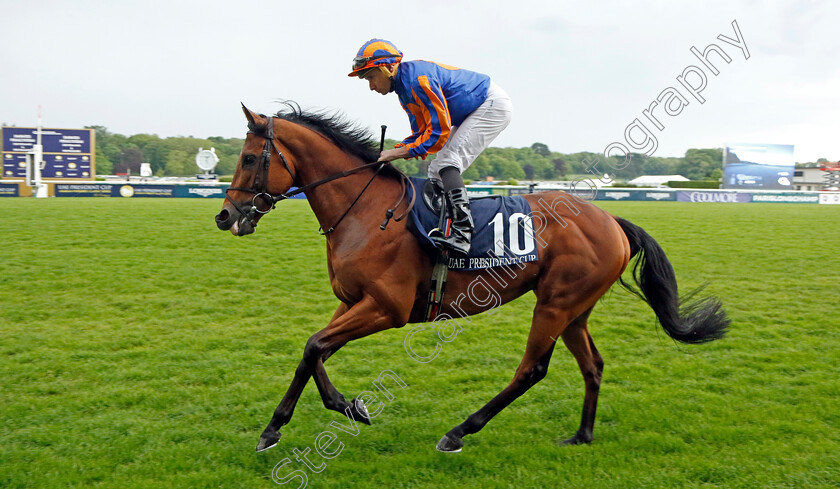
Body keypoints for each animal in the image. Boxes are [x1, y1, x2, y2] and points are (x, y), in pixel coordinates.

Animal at [217, 104, 728, 454]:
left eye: (249, 159)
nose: (226, 216)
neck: (364, 212)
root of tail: (612, 220)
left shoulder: (386, 308)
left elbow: (314, 346)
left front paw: (332, 411)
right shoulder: (352, 301)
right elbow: (314, 351)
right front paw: (300, 420)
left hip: (555, 303)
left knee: (531, 369)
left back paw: (459, 431)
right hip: (575, 308)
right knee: (593, 365)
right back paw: (582, 435)